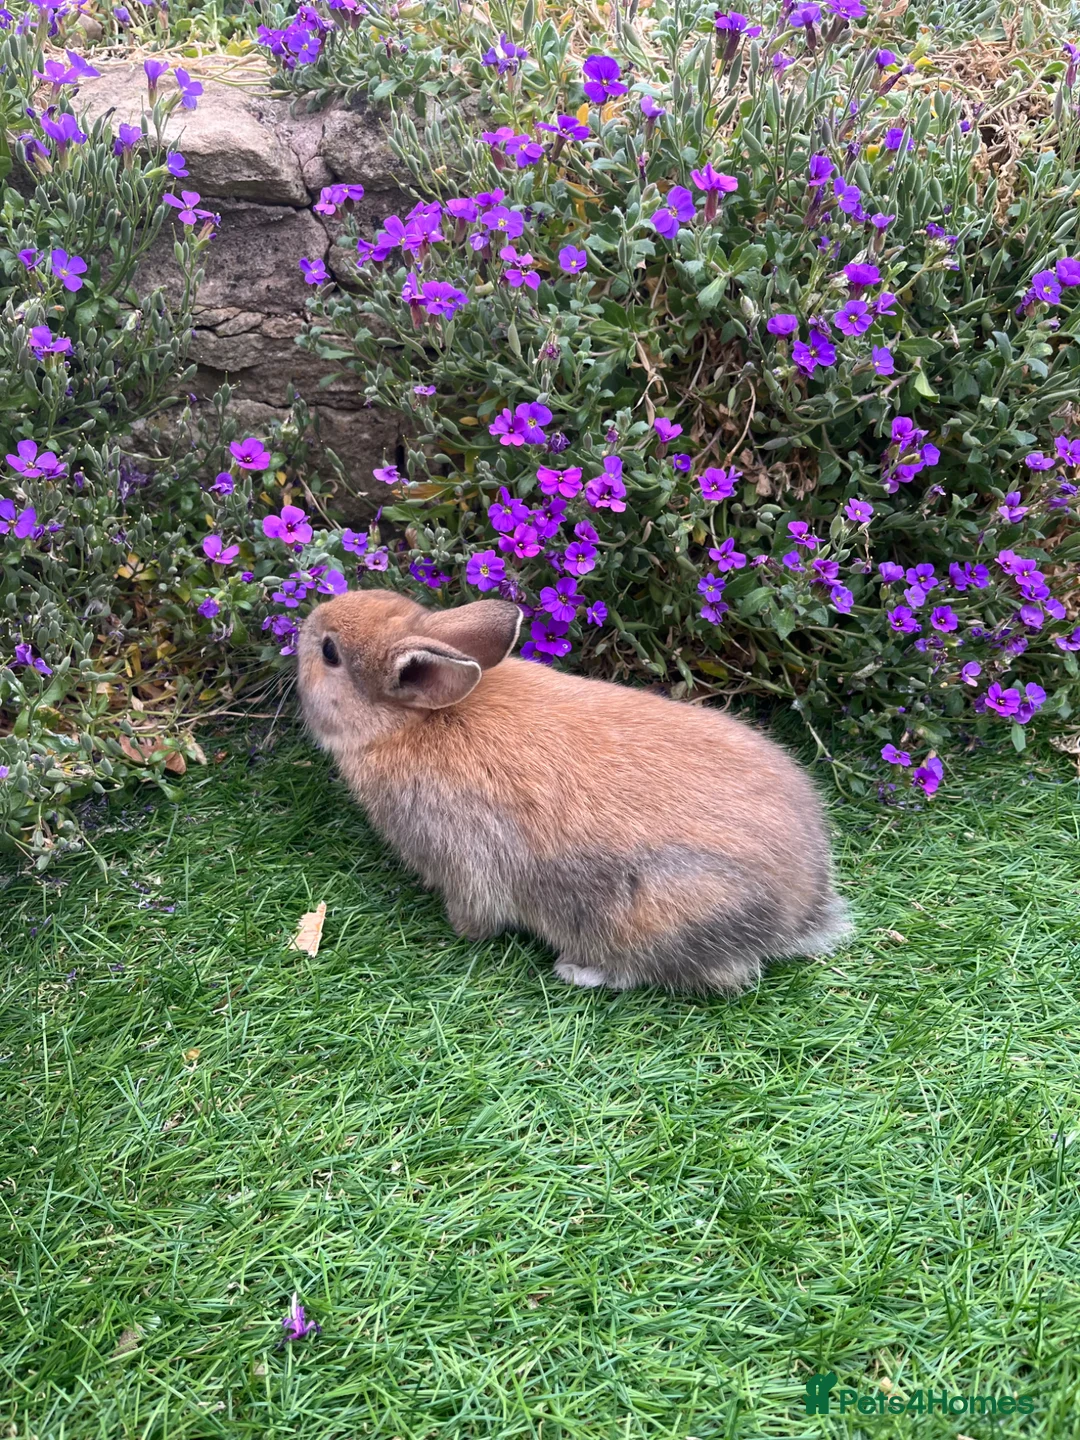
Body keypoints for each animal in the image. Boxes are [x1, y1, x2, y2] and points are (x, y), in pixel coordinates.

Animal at [296, 588, 851, 993]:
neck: (407, 722)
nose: (308, 619)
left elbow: (476, 912)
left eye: (330, 652)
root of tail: (802, 910)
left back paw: (577, 971)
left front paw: (460, 930)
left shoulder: (464, 861)